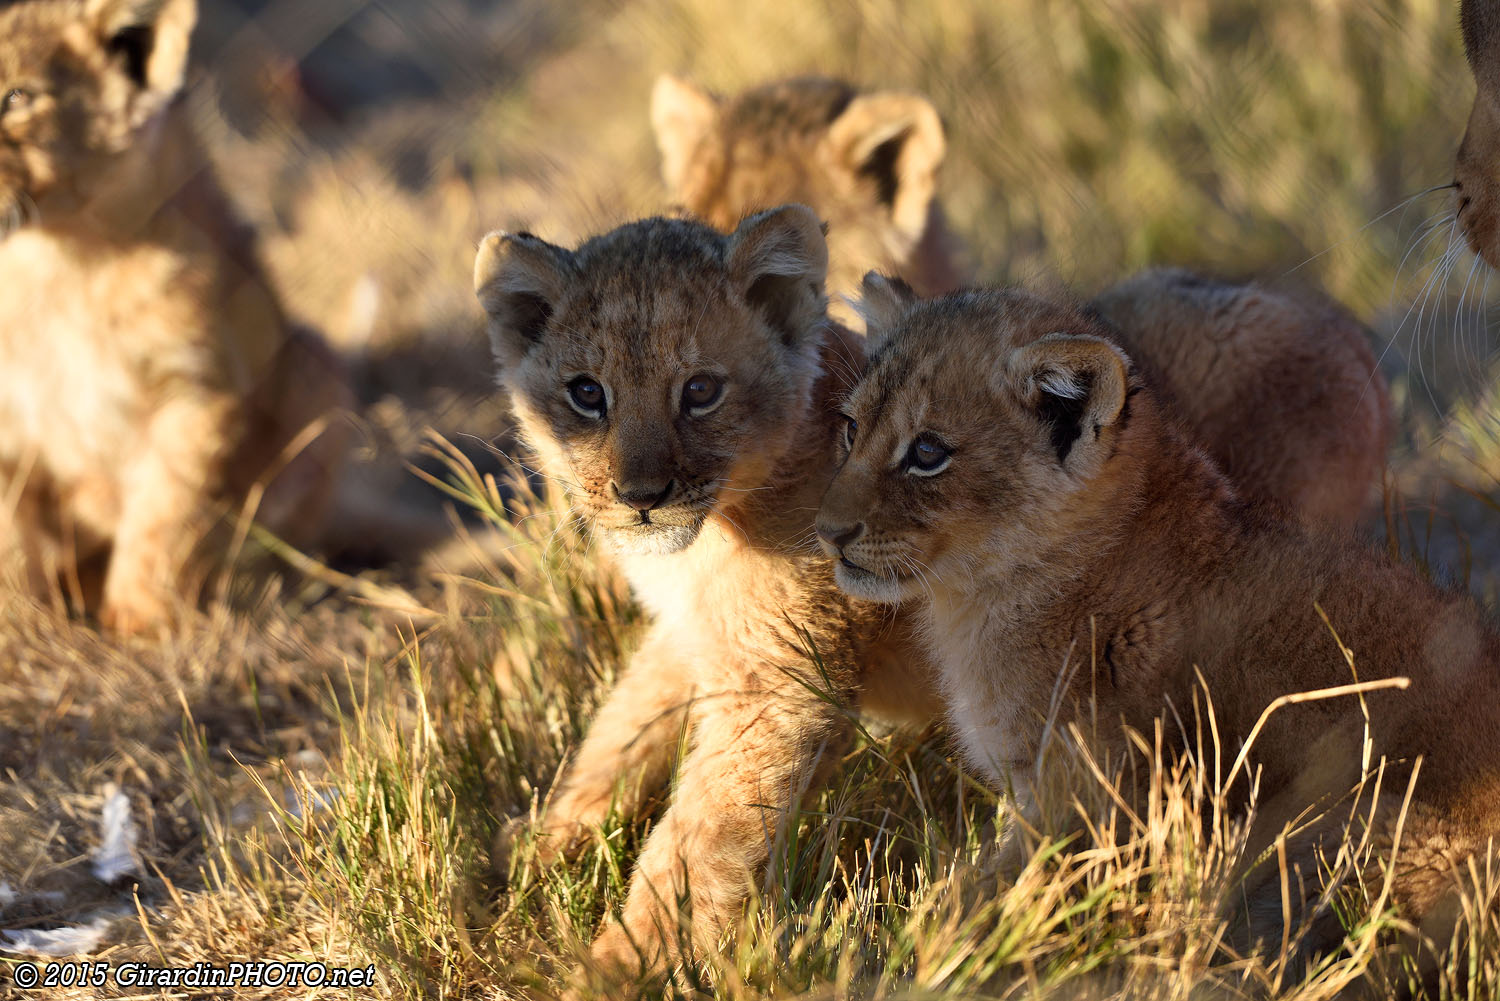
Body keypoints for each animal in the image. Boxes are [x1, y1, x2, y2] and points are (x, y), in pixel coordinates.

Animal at [0, 0, 351, 634]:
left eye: (17, 97)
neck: (59, 256)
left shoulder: (197, 387)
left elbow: (166, 514)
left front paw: (143, 622)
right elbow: (8, 534)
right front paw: (21, 621)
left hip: (319, 373)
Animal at [816, 274, 1500, 970]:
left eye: (927, 452)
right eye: (851, 427)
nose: (827, 532)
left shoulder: (1083, 809)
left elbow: (978, 901)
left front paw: (893, 952)